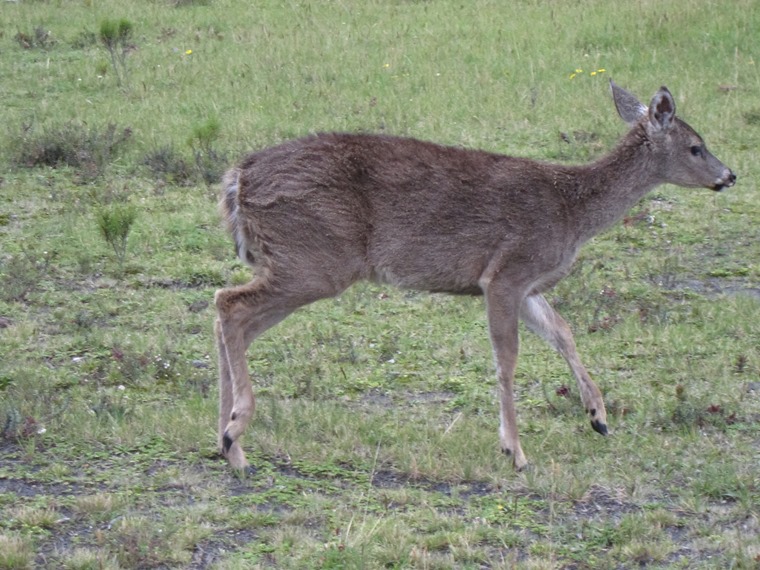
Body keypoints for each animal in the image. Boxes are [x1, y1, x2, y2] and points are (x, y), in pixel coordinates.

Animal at [214, 80, 736, 470]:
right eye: (696, 146)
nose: (729, 175)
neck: (572, 211)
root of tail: (237, 179)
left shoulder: (528, 283)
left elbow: (563, 332)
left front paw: (598, 416)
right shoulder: (506, 271)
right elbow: (508, 357)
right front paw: (515, 451)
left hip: (299, 261)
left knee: (229, 312)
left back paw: (226, 440)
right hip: (317, 259)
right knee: (228, 304)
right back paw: (237, 431)